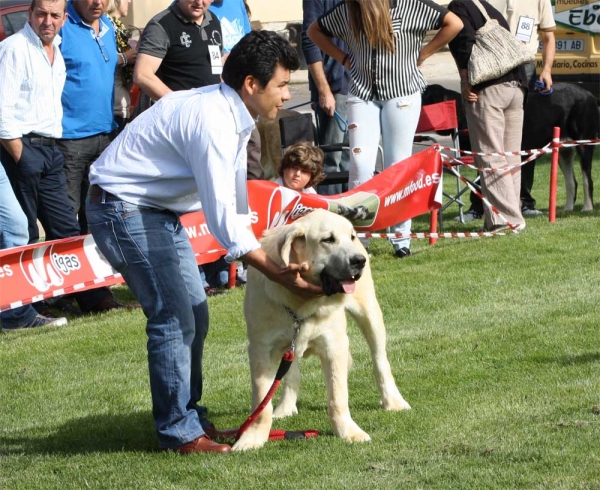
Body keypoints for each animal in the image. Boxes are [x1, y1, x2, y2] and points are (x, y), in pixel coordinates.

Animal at [232, 209, 410, 450]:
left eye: (351, 236)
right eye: (328, 240)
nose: (359, 260)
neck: (301, 303)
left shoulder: (335, 345)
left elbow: (338, 396)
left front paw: (348, 432)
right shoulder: (261, 349)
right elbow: (261, 401)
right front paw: (252, 438)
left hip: (370, 313)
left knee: (380, 360)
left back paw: (393, 401)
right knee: (291, 374)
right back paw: (286, 407)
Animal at [424, 82, 596, 211]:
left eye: (426, 99)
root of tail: (590, 94)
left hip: (584, 145)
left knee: (587, 180)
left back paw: (587, 207)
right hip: (563, 151)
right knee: (572, 182)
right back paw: (567, 208)